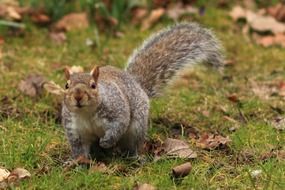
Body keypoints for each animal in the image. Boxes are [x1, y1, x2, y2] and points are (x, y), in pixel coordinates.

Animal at [61, 22, 223, 159]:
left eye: (94, 85)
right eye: (66, 85)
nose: (78, 96)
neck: (86, 113)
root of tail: (137, 85)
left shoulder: (116, 109)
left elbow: (119, 124)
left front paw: (107, 141)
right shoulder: (74, 129)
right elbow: (79, 149)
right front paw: (75, 163)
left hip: (137, 128)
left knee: (133, 145)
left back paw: (134, 157)